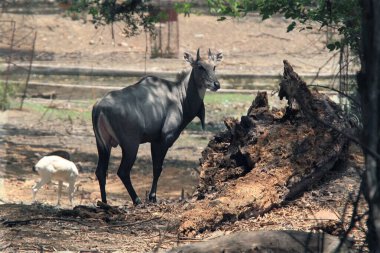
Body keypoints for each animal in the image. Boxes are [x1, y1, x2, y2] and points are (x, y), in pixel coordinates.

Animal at [92, 48, 223, 205]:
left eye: (214, 66)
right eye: (200, 66)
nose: (216, 84)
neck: (180, 96)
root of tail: (99, 107)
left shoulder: (154, 140)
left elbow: (156, 167)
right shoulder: (164, 138)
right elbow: (158, 168)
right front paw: (152, 197)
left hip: (102, 144)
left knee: (101, 171)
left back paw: (104, 203)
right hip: (130, 144)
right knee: (123, 171)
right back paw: (137, 201)